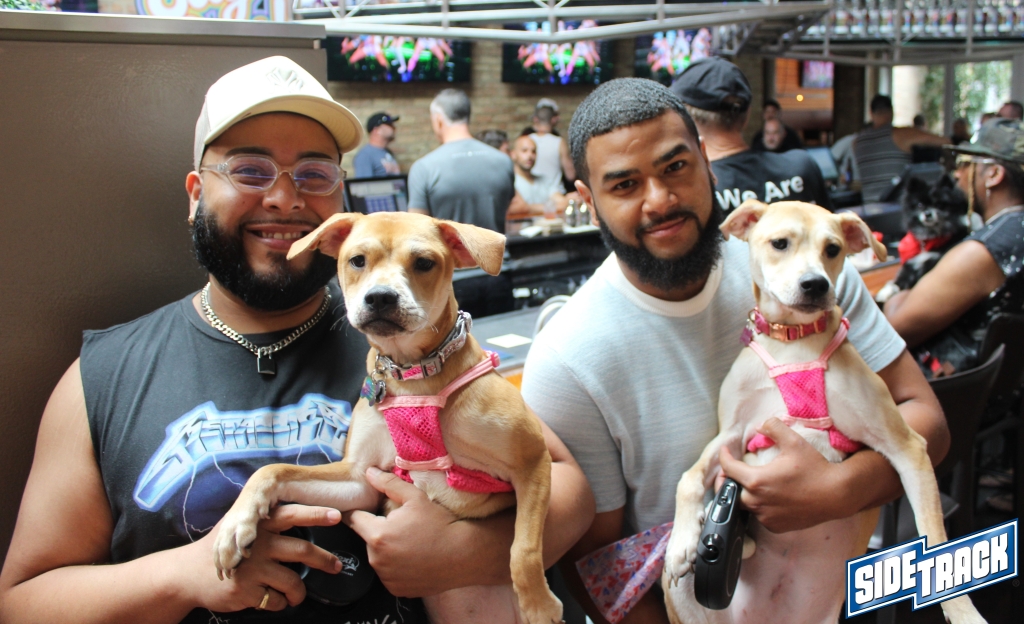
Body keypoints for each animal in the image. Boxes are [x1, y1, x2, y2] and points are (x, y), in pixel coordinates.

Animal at [212, 212, 563, 624]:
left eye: (424, 263)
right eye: (357, 260)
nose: (380, 297)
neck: (413, 375)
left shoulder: (533, 461)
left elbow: (523, 546)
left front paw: (538, 604)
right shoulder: (359, 479)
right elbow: (272, 471)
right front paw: (235, 524)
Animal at [662, 200, 985, 624]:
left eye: (833, 249)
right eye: (780, 243)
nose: (816, 284)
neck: (793, 342)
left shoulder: (907, 446)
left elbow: (935, 537)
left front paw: (963, 612)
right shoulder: (731, 436)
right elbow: (689, 476)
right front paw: (681, 542)